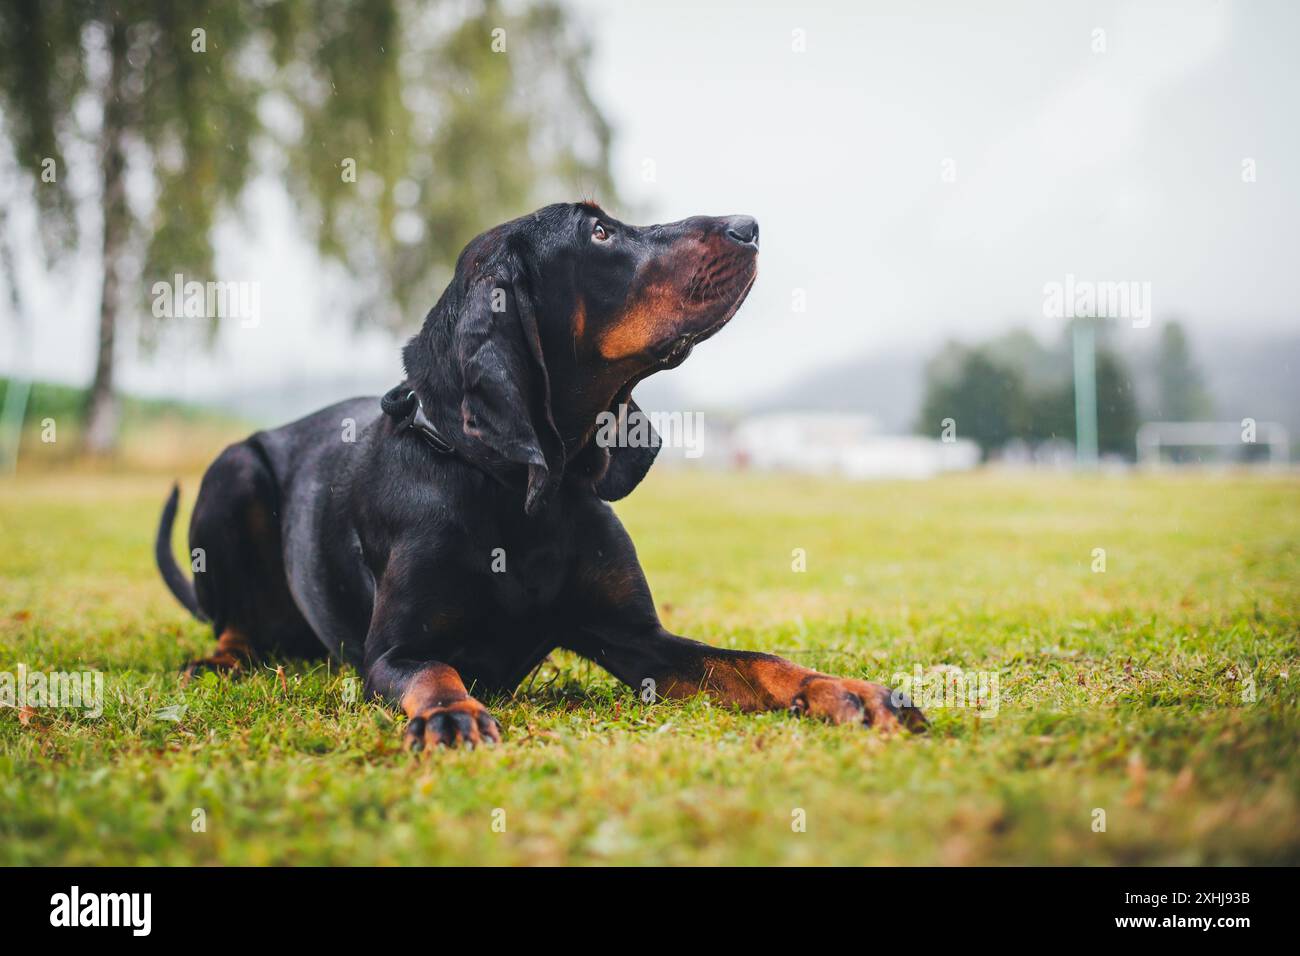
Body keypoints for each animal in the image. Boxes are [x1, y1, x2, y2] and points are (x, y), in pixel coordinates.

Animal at [154, 204, 925, 749]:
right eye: (600, 232)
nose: (750, 227)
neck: (518, 489)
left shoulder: (641, 641)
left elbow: (758, 661)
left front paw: (846, 691)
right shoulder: (393, 651)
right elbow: (434, 672)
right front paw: (453, 715)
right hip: (233, 469)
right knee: (233, 622)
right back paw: (222, 659)